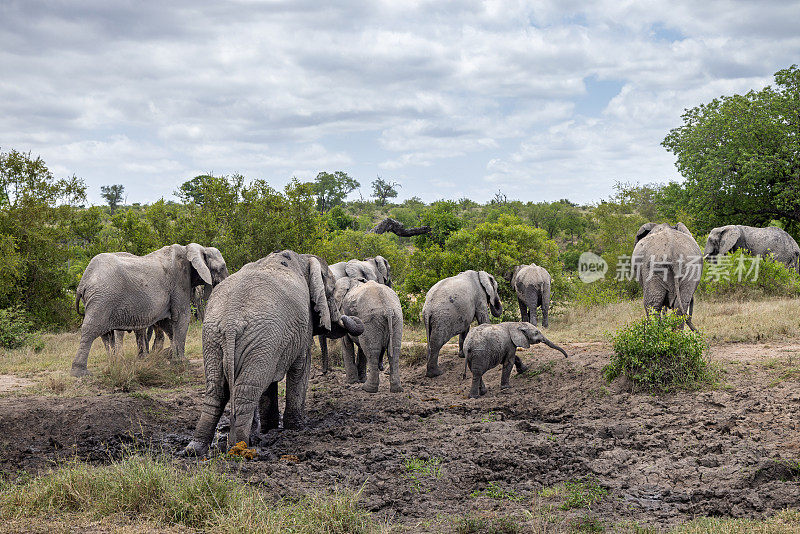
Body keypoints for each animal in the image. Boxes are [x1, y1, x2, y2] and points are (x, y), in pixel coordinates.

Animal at [72, 243, 228, 376]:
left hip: (101, 300)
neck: (192, 249)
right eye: (222, 267)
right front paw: (182, 361)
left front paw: (173, 357)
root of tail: (83, 283)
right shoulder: (180, 281)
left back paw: (114, 364)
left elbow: (166, 323)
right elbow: (181, 316)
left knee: (106, 335)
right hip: (102, 299)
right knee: (91, 330)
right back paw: (81, 373)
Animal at [181, 250, 362, 456]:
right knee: (246, 390)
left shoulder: (274, 343)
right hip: (258, 336)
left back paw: (195, 449)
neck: (302, 259)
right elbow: (300, 370)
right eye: (330, 292)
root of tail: (231, 323)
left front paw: (270, 428)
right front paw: (297, 428)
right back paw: (239, 448)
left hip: (217, 338)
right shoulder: (297, 331)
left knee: (217, 390)